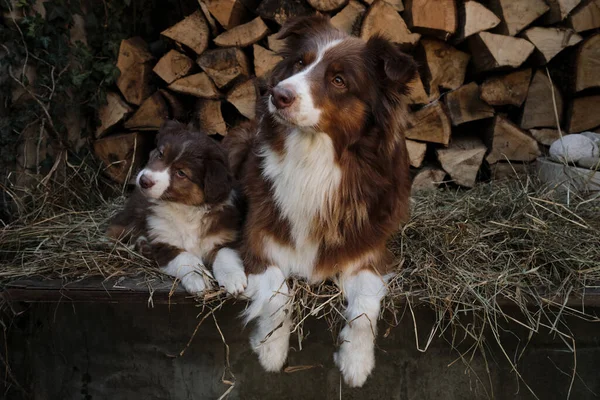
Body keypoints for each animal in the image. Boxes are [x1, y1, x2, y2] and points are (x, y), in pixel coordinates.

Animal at [107, 120, 246, 296]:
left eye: (181, 173)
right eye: (160, 154)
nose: (144, 180)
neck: (186, 209)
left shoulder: (227, 237)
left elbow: (225, 254)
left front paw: (232, 278)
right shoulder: (163, 242)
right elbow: (185, 257)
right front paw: (198, 276)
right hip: (134, 212)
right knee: (116, 227)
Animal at [221, 15, 418, 388]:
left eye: (339, 80)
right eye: (300, 63)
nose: (278, 95)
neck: (313, 161)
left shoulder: (370, 254)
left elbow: (364, 311)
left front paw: (356, 364)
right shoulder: (259, 243)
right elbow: (279, 298)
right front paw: (270, 351)